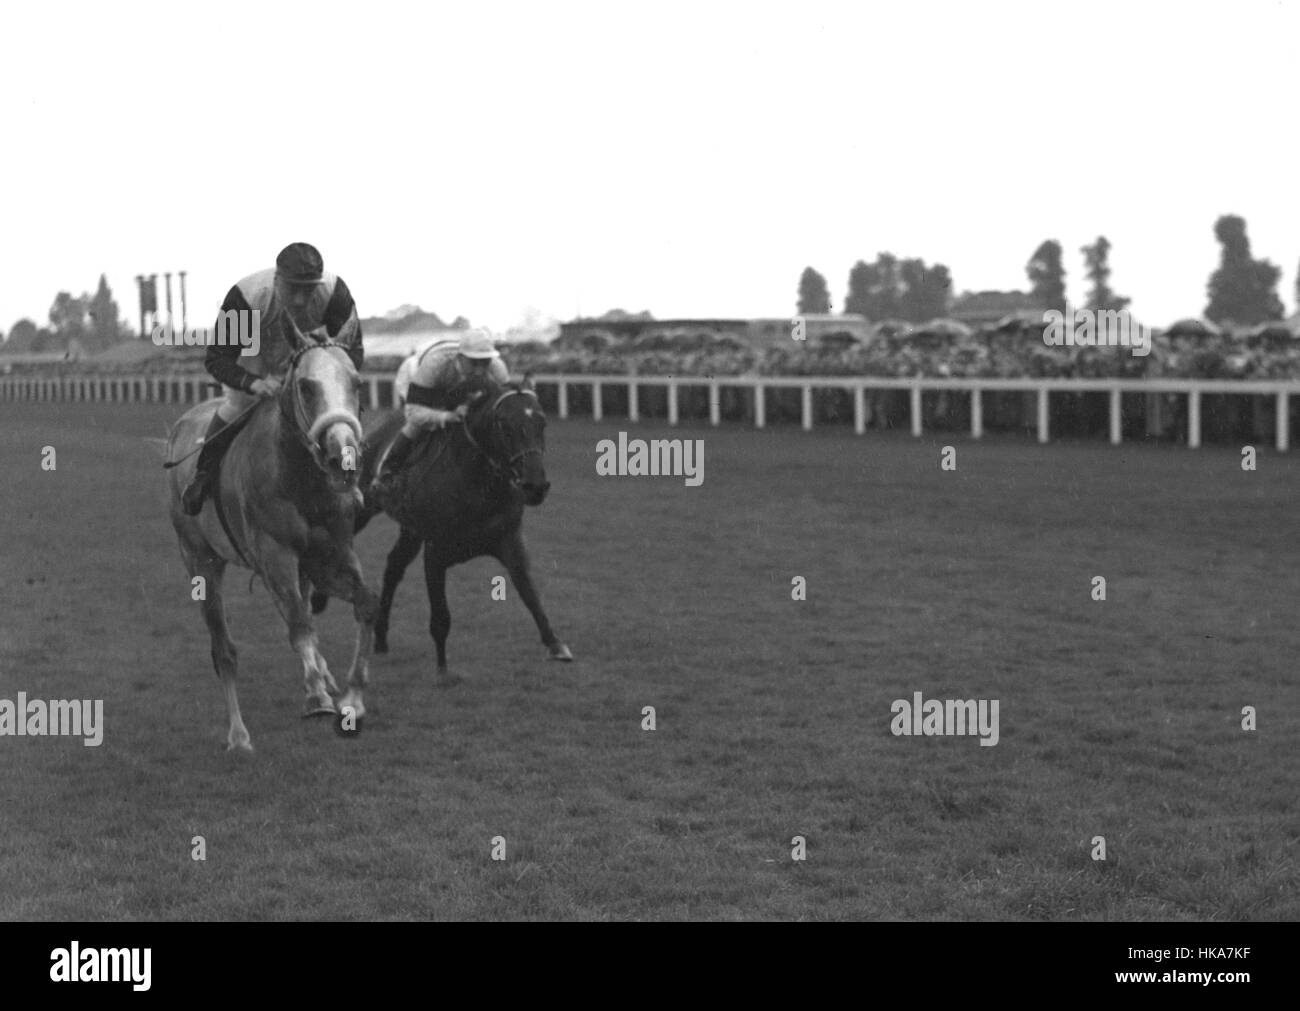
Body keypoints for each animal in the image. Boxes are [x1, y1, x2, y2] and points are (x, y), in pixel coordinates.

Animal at [165, 345, 379, 748]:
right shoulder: (275, 553)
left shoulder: (329, 557)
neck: (302, 481)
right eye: (306, 387)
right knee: (225, 650)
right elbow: (298, 625)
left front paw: (353, 698)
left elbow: (364, 604)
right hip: (200, 559)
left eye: (357, 383)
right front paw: (316, 697)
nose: (341, 456)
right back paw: (238, 735)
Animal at [313, 374, 569, 680]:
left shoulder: (509, 539)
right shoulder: (435, 551)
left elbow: (530, 594)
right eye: (505, 425)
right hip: (362, 508)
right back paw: (317, 597)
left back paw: (381, 636)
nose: (536, 486)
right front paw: (443, 669)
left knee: (393, 568)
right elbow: (441, 616)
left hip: (411, 529)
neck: (477, 483)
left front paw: (555, 644)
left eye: (542, 422)